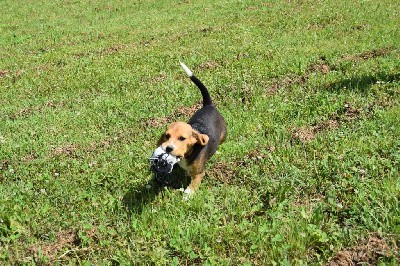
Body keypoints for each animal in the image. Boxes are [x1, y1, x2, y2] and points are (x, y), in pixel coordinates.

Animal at [156, 61, 227, 196]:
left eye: (182, 138)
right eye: (167, 136)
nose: (168, 148)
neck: (187, 154)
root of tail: (209, 105)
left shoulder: (199, 173)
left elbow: (192, 185)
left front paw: (187, 195)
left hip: (224, 135)